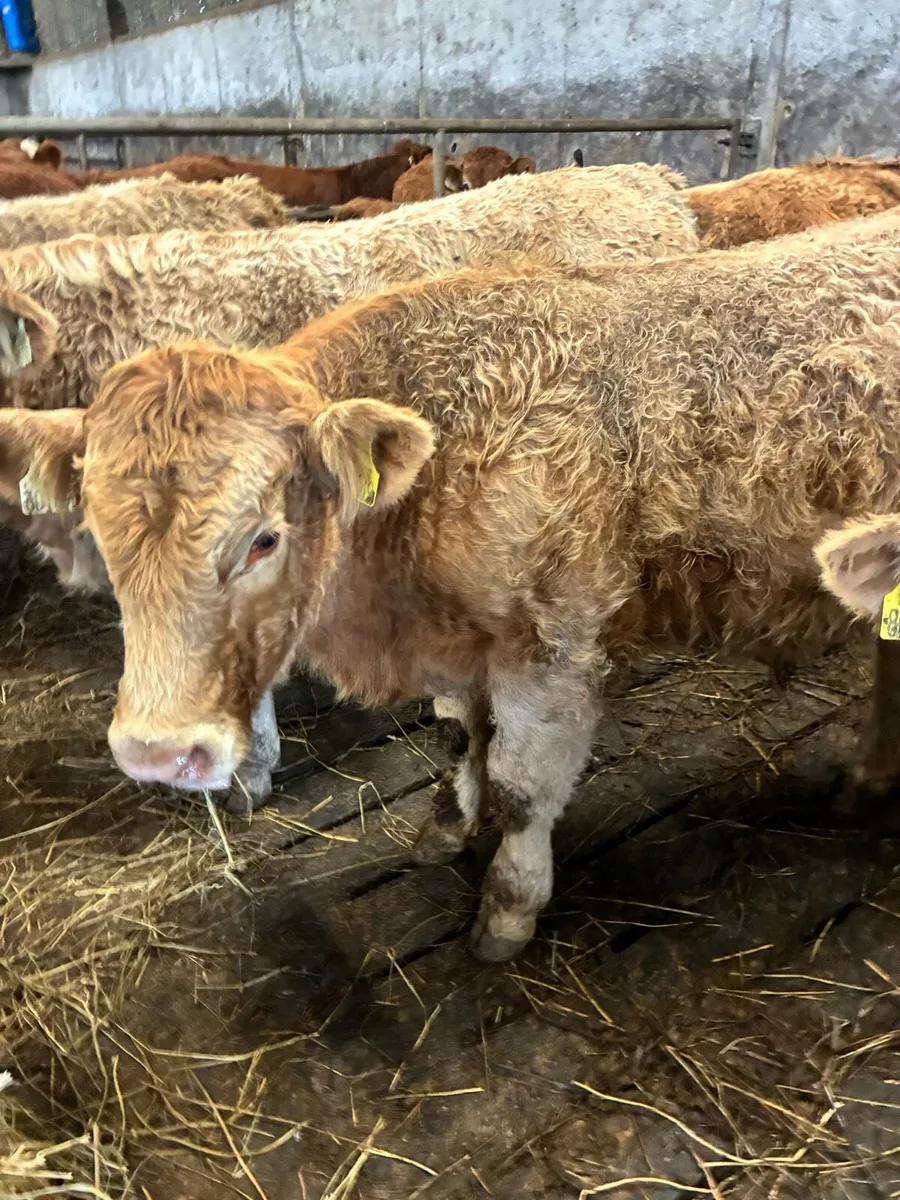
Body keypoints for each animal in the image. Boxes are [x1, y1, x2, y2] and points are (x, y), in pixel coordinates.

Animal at [4, 214, 900, 961]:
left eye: (263, 538)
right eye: (103, 538)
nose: (158, 753)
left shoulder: (553, 651)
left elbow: (522, 786)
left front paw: (507, 908)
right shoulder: (457, 645)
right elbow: (456, 738)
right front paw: (445, 825)